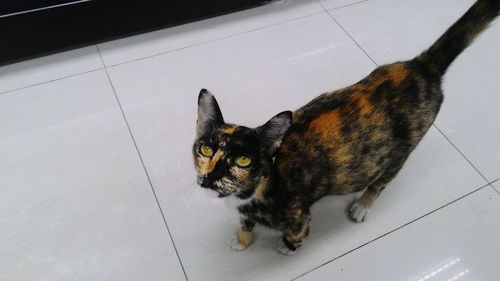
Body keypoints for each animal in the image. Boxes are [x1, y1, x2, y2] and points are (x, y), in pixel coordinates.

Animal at [191, 0, 500, 254]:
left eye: (243, 160)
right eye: (205, 149)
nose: (211, 176)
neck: (256, 189)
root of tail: (421, 68)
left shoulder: (298, 216)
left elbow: (297, 233)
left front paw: (286, 248)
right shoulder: (244, 210)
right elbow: (245, 223)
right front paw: (241, 240)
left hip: (403, 148)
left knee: (383, 179)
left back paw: (362, 205)